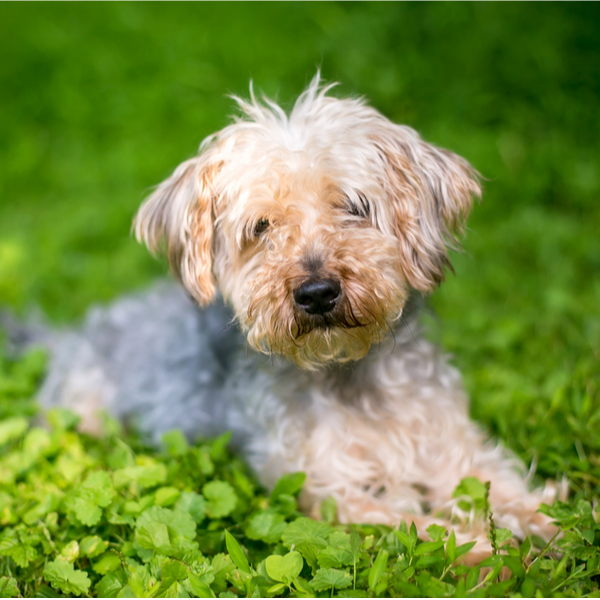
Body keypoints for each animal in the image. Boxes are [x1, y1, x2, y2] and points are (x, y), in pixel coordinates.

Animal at [34, 75, 556, 556]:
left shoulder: (454, 449)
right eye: (261, 226)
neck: (347, 374)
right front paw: (486, 550)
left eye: (354, 206)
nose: (317, 293)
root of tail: (68, 336)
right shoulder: (329, 491)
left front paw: (550, 529)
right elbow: (417, 525)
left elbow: (504, 489)